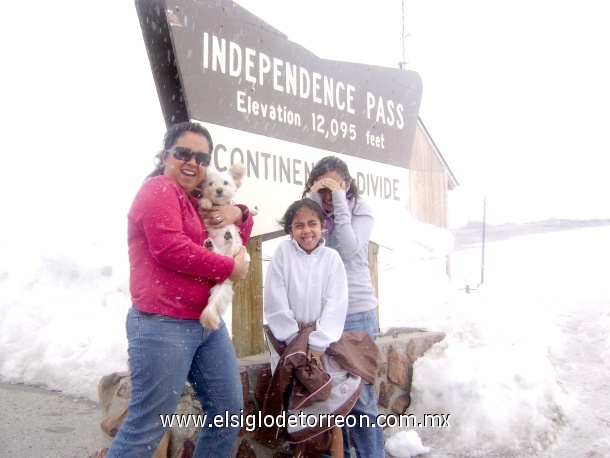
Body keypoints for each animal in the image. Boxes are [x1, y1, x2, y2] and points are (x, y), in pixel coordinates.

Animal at [198, 161, 248, 330]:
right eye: (211, 184)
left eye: (225, 183)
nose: (219, 190)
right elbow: (204, 203)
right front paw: (206, 202)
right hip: (222, 254)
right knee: (219, 254)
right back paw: (210, 244)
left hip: (239, 250)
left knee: (230, 250)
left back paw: (228, 239)